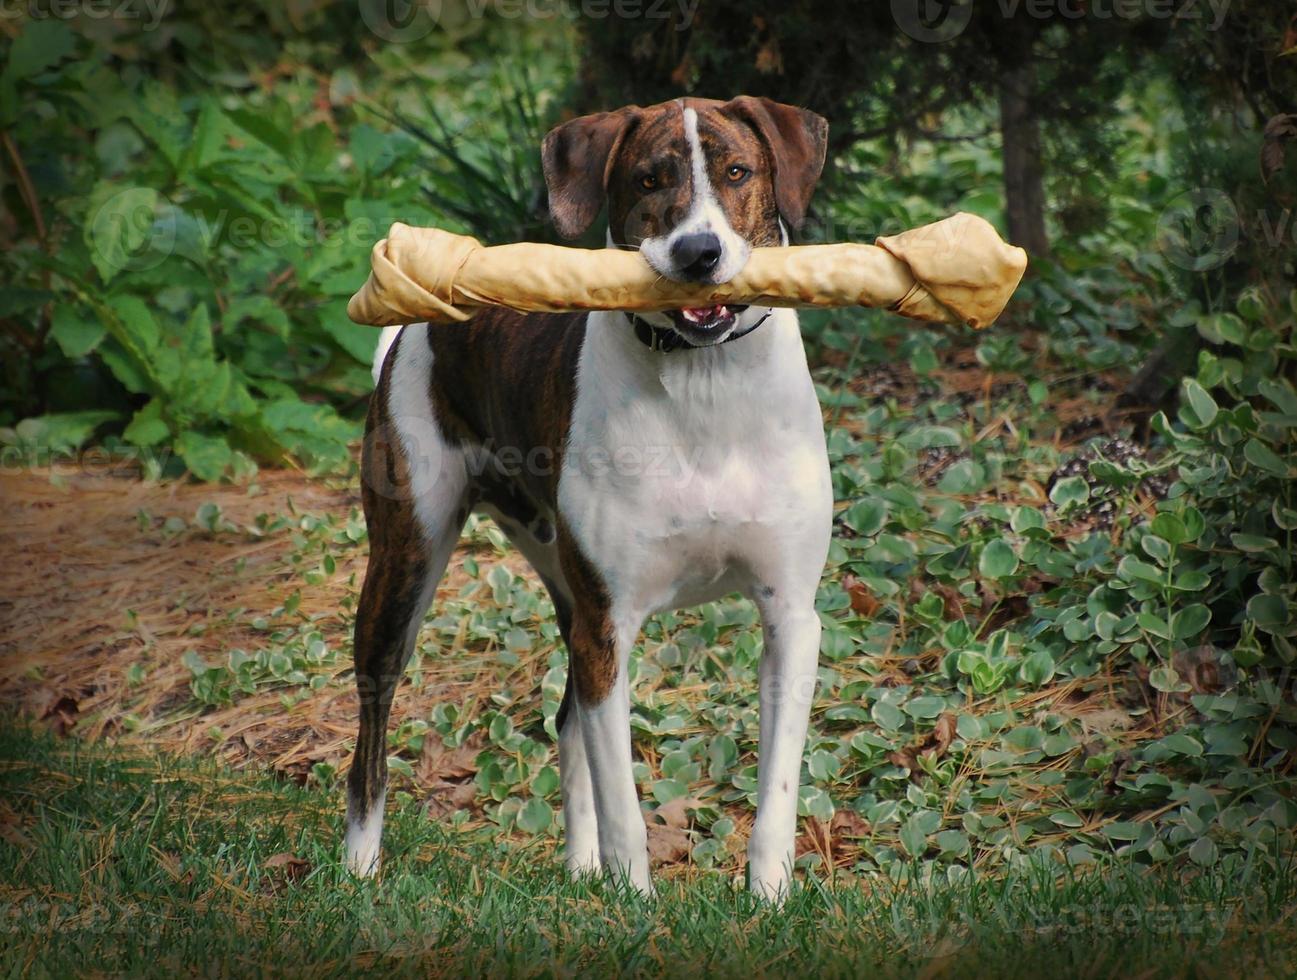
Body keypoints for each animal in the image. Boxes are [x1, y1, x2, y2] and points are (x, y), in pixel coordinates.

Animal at [345, 95, 830, 897]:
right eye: (647, 179)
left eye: (737, 172)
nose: (698, 252)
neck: (704, 382)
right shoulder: (609, 624)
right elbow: (622, 802)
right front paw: (633, 902)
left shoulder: (789, 617)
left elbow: (777, 791)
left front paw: (767, 899)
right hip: (403, 566)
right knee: (373, 730)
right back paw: (358, 868)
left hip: (561, 582)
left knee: (569, 721)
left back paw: (577, 872)